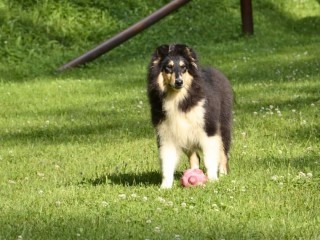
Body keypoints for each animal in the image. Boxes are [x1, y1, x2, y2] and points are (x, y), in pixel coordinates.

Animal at [147, 44, 232, 188]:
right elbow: (167, 162)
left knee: (223, 153)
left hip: (223, 126)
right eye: (168, 67)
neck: (178, 99)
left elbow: (210, 157)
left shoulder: (208, 130)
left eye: (183, 67)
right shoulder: (166, 134)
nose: (179, 82)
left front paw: (213, 179)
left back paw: (223, 174)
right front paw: (165, 187)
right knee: (195, 157)